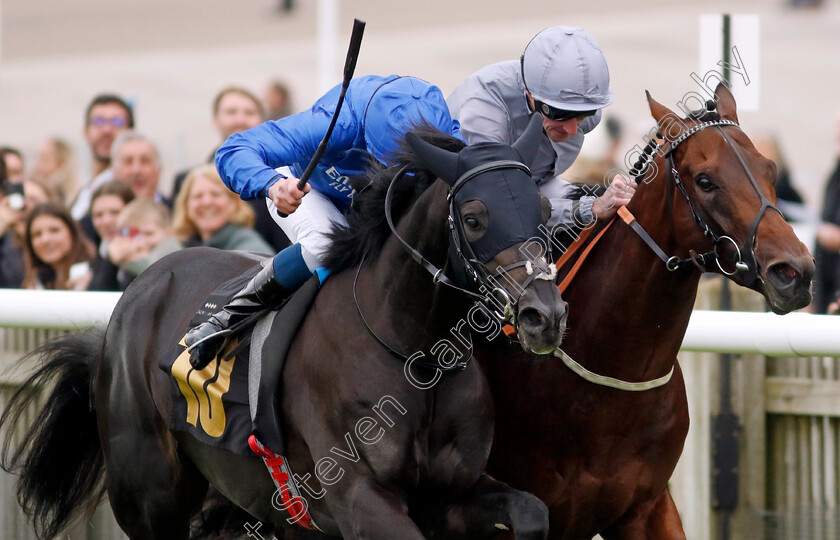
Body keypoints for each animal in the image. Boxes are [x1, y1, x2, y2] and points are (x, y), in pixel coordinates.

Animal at [3, 120, 568, 536]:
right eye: (473, 218)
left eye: (543, 208)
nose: (544, 317)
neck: (414, 352)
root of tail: (140, 289)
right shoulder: (361, 498)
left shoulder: (451, 493)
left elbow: (533, 512)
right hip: (149, 493)